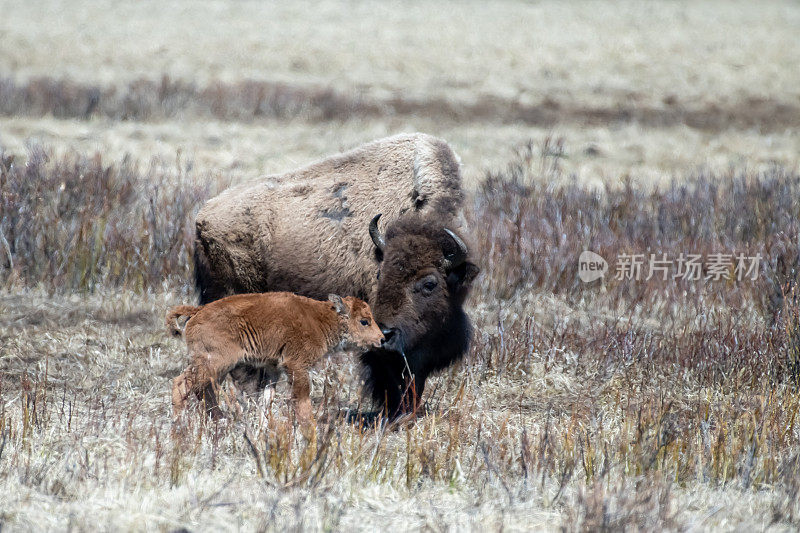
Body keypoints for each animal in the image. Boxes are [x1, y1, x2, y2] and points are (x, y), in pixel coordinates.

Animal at [168, 290, 384, 428]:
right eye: (364, 321)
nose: (382, 339)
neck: (323, 319)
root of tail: (198, 310)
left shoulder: (273, 369)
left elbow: (266, 398)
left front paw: (264, 428)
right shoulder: (297, 365)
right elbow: (302, 399)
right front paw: (309, 428)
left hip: (216, 368)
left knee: (203, 389)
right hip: (216, 363)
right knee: (184, 384)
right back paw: (182, 424)